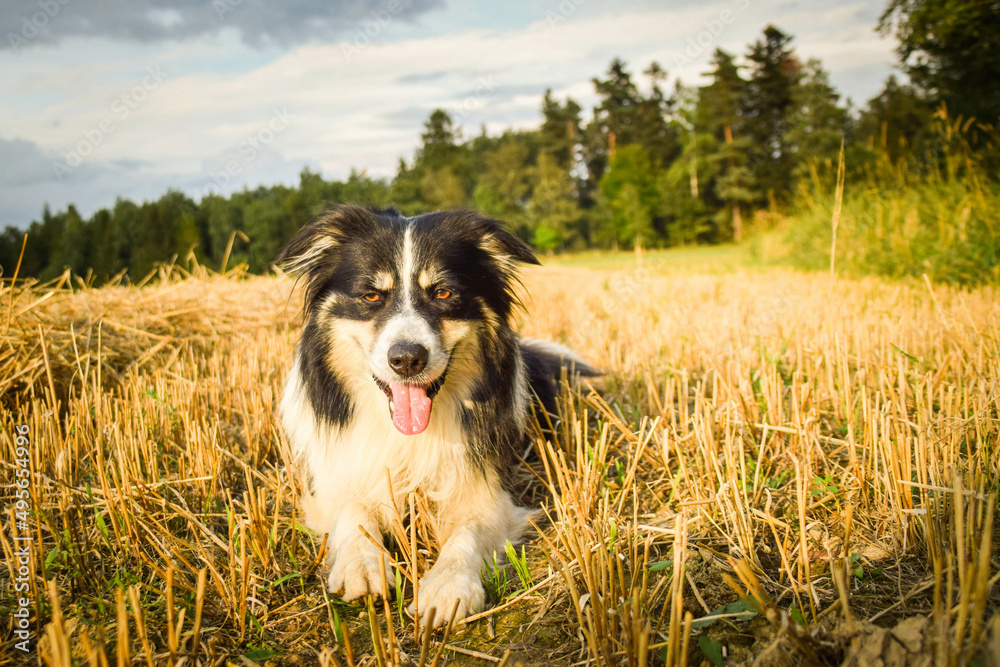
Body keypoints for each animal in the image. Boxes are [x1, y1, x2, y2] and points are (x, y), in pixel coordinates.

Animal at [278, 204, 592, 628]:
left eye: (443, 292)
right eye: (371, 295)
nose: (407, 359)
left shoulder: (491, 494)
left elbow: (468, 531)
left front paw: (447, 587)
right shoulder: (335, 480)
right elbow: (353, 509)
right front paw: (362, 564)